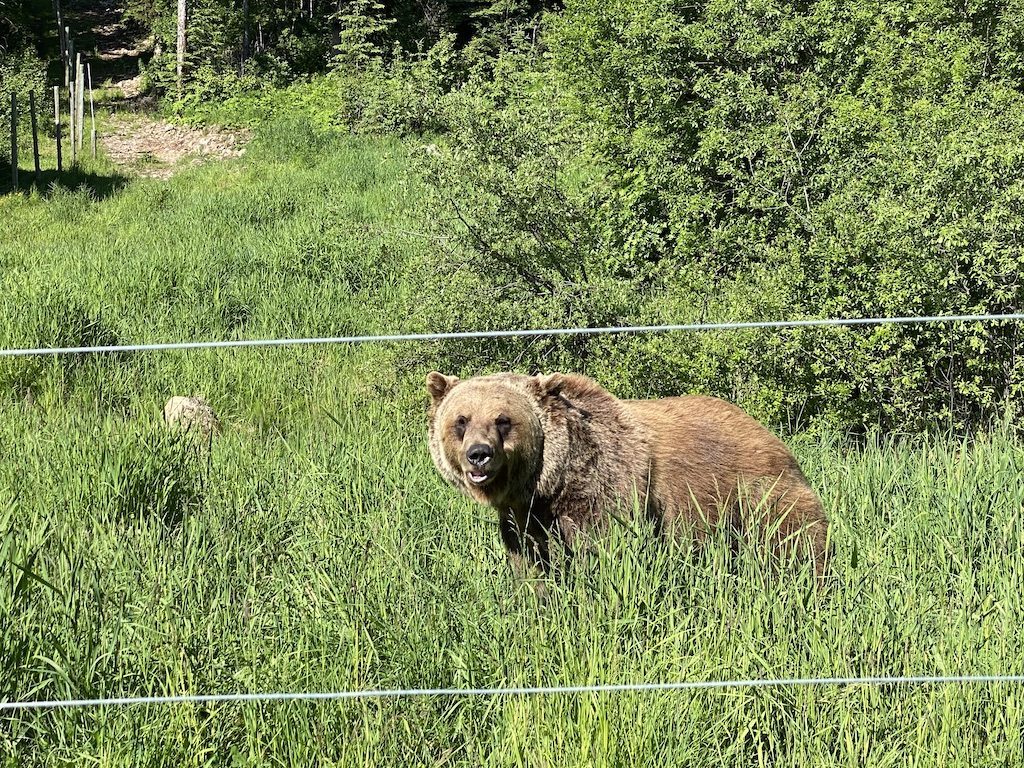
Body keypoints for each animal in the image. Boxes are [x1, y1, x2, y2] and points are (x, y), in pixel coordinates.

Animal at [425, 370, 831, 577]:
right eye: (461, 420)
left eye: (503, 420)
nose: (479, 454)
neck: (550, 482)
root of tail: (772, 437)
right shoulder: (524, 519)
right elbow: (531, 565)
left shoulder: (605, 489)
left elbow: (604, 556)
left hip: (758, 496)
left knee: (795, 546)